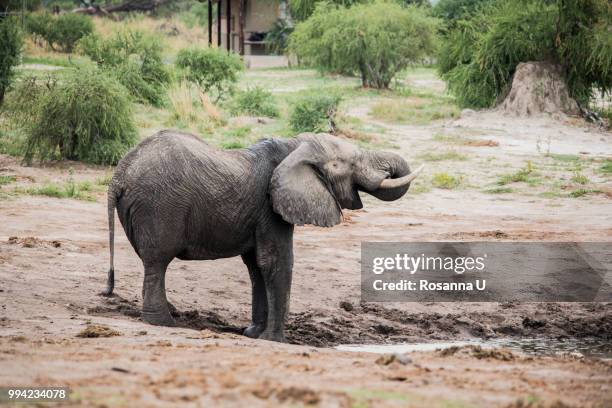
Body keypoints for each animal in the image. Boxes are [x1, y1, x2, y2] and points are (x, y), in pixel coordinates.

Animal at [103, 130, 424, 342]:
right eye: (350, 163)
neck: (293, 146)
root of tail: (119, 174)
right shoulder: (270, 206)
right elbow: (276, 261)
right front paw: (274, 340)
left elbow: (257, 266)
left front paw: (253, 333)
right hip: (158, 206)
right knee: (157, 261)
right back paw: (164, 322)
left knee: (151, 261)